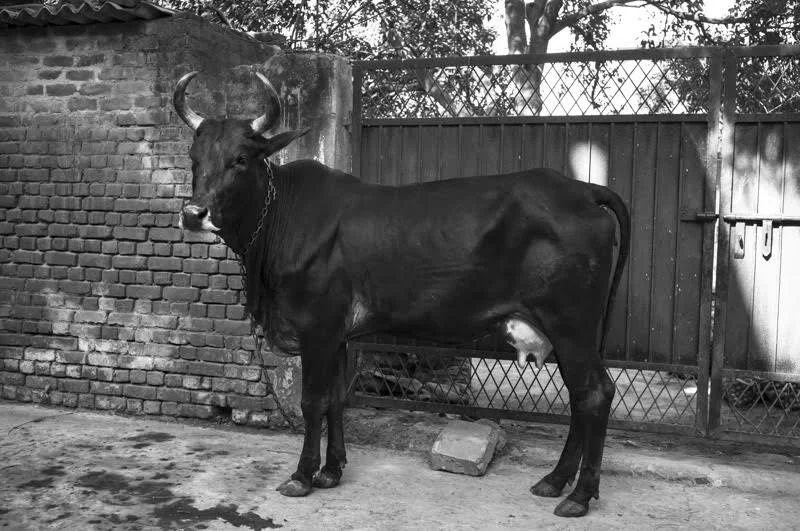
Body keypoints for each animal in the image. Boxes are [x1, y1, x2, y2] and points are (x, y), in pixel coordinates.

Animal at [173, 71, 631, 518]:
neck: (277, 220)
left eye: (240, 159)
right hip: (566, 331)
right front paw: (332, 471)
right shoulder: (337, 334)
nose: (194, 213)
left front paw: (302, 476)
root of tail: (582, 190)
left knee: (595, 393)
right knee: (580, 395)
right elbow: (335, 399)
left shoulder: (316, 327)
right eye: (194, 159)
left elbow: (312, 401)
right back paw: (555, 480)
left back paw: (579, 494)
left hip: (570, 323)